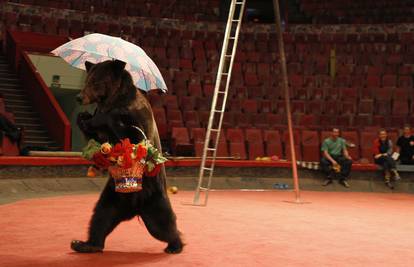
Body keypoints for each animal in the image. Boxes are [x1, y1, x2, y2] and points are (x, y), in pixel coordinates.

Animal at [72, 60, 184, 255]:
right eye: (87, 80)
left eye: (95, 81)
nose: (79, 97)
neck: (113, 100)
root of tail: (135, 209)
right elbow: (98, 140)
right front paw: (83, 116)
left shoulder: (134, 117)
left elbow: (135, 140)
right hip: (112, 197)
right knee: (101, 217)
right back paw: (86, 244)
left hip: (154, 199)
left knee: (163, 225)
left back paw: (175, 245)